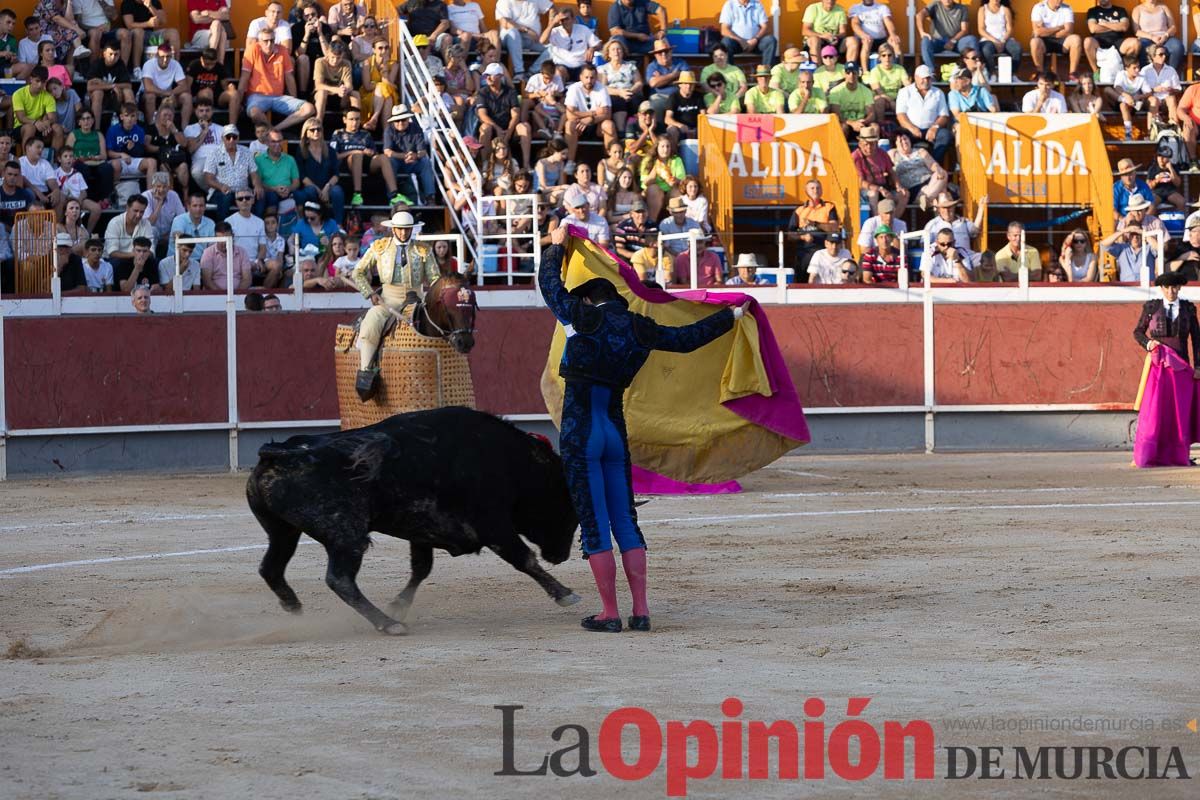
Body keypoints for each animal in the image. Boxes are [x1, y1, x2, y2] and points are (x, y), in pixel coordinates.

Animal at [244, 410, 580, 633]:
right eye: (568, 507)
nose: (561, 556)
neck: (514, 463)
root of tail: (278, 453)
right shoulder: (494, 526)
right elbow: (524, 559)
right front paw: (565, 594)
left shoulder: (422, 531)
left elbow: (421, 568)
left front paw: (399, 604)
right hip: (346, 534)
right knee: (339, 579)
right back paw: (388, 624)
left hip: (283, 531)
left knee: (271, 567)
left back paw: (294, 607)